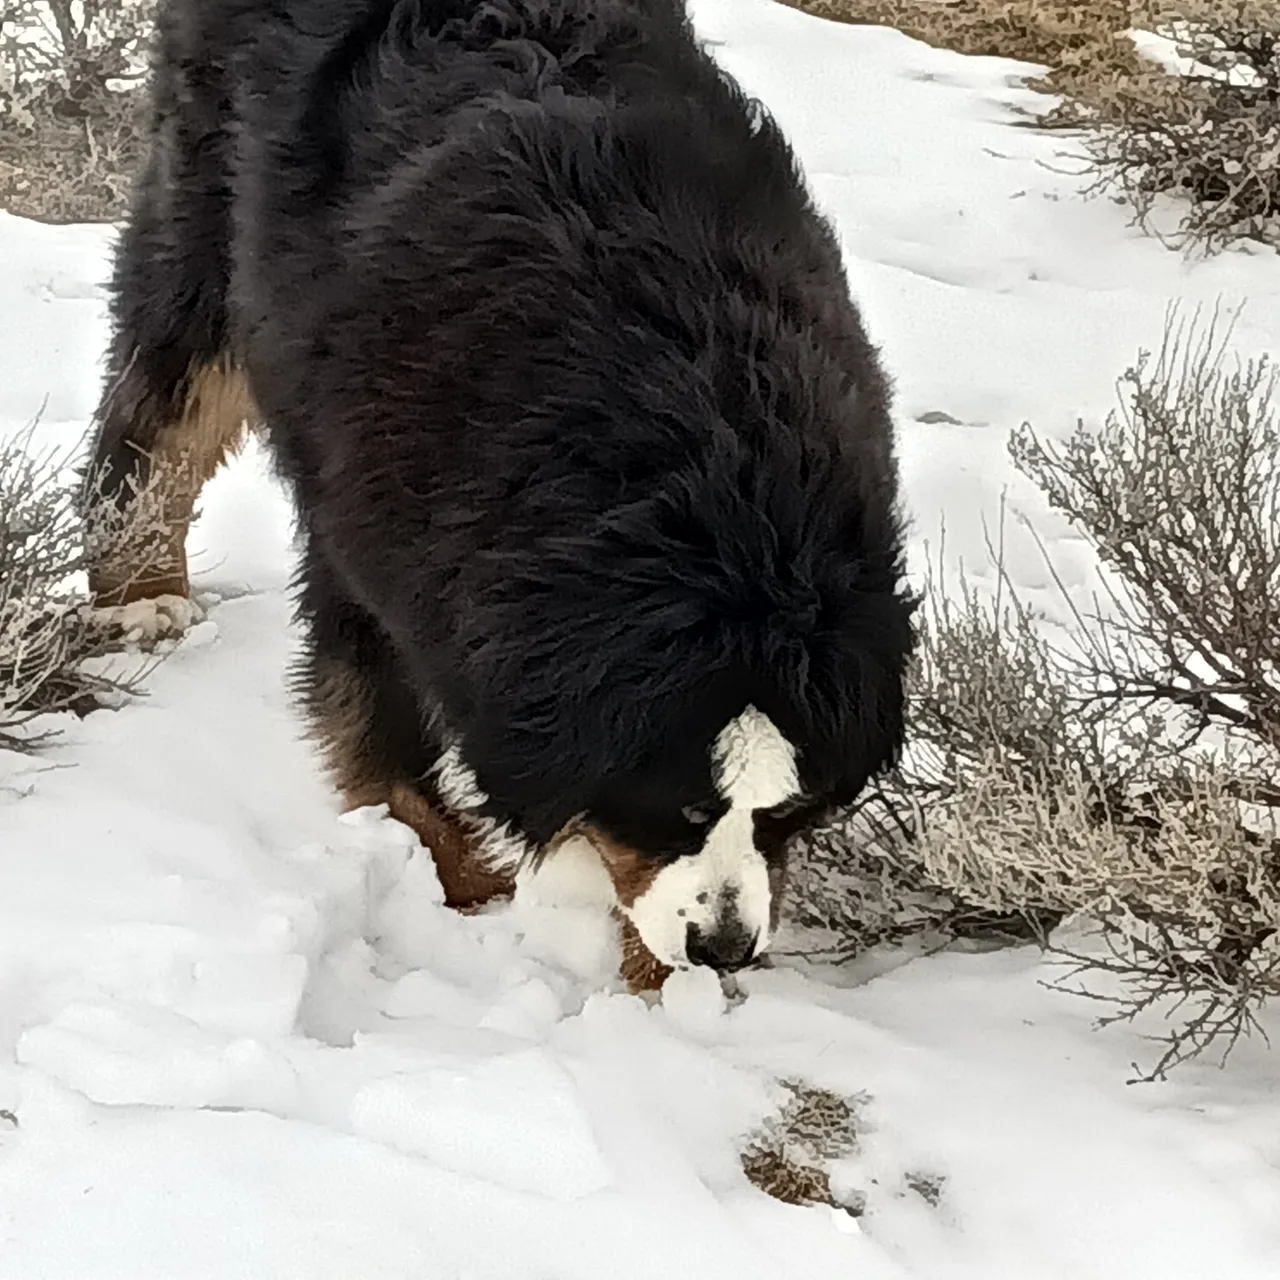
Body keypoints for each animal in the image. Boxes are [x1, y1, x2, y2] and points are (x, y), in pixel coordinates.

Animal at [85, 0, 916, 988]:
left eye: (787, 812)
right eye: (677, 805)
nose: (724, 949)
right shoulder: (377, 527)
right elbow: (381, 725)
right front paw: (463, 877)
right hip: (208, 201)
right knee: (163, 403)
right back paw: (139, 591)